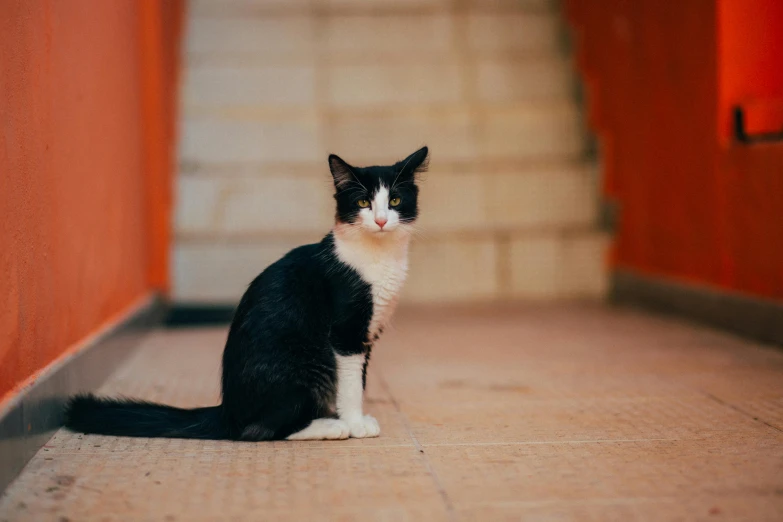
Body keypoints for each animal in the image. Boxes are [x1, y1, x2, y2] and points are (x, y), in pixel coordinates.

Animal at [64, 145, 428, 438]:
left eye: (394, 200)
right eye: (363, 202)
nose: (380, 220)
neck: (379, 257)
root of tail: (229, 412)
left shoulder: (368, 332)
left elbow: (361, 378)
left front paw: (355, 416)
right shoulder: (346, 331)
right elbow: (351, 381)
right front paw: (353, 423)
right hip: (298, 365)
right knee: (259, 431)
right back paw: (327, 426)